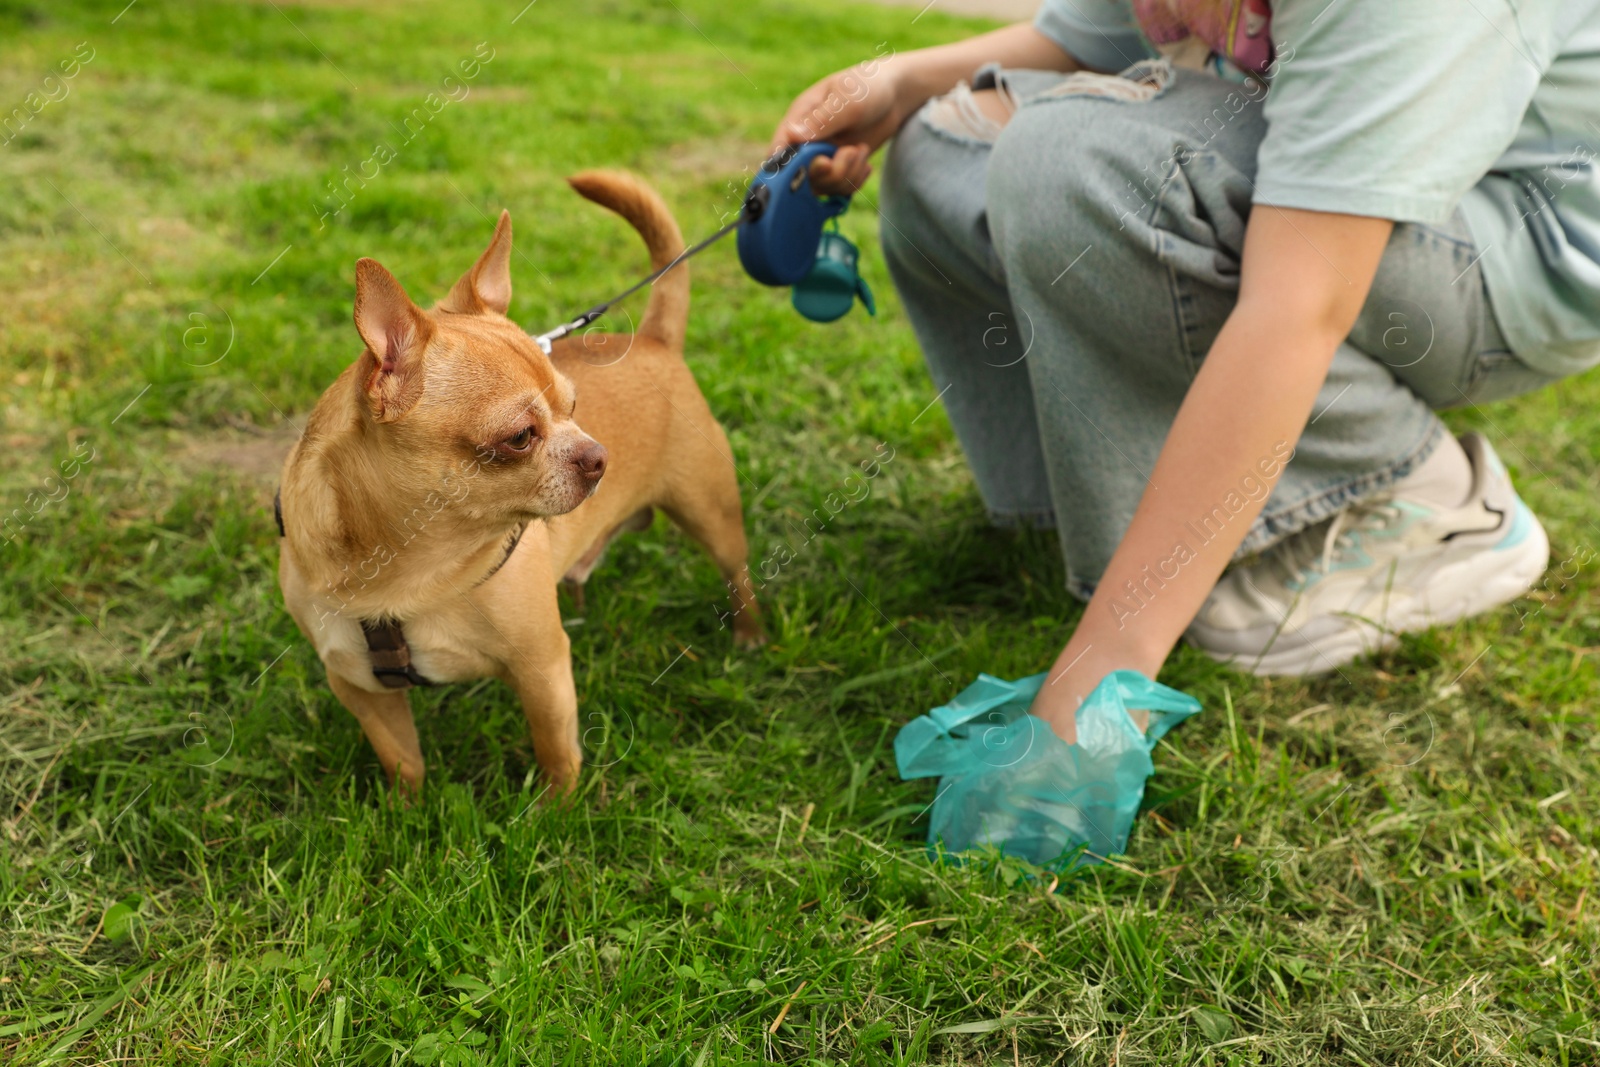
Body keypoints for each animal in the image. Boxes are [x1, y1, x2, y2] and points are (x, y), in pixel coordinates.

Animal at [278, 171, 764, 796]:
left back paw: (749, 634)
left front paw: (558, 808)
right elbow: (402, 759)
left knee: (737, 573)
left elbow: (554, 748)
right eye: (519, 437)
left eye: (574, 407)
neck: (405, 567)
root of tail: (656, 339)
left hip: (711, 512)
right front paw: (406, 810)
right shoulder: (360, 688)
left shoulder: (543, 668)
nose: (599, 456)